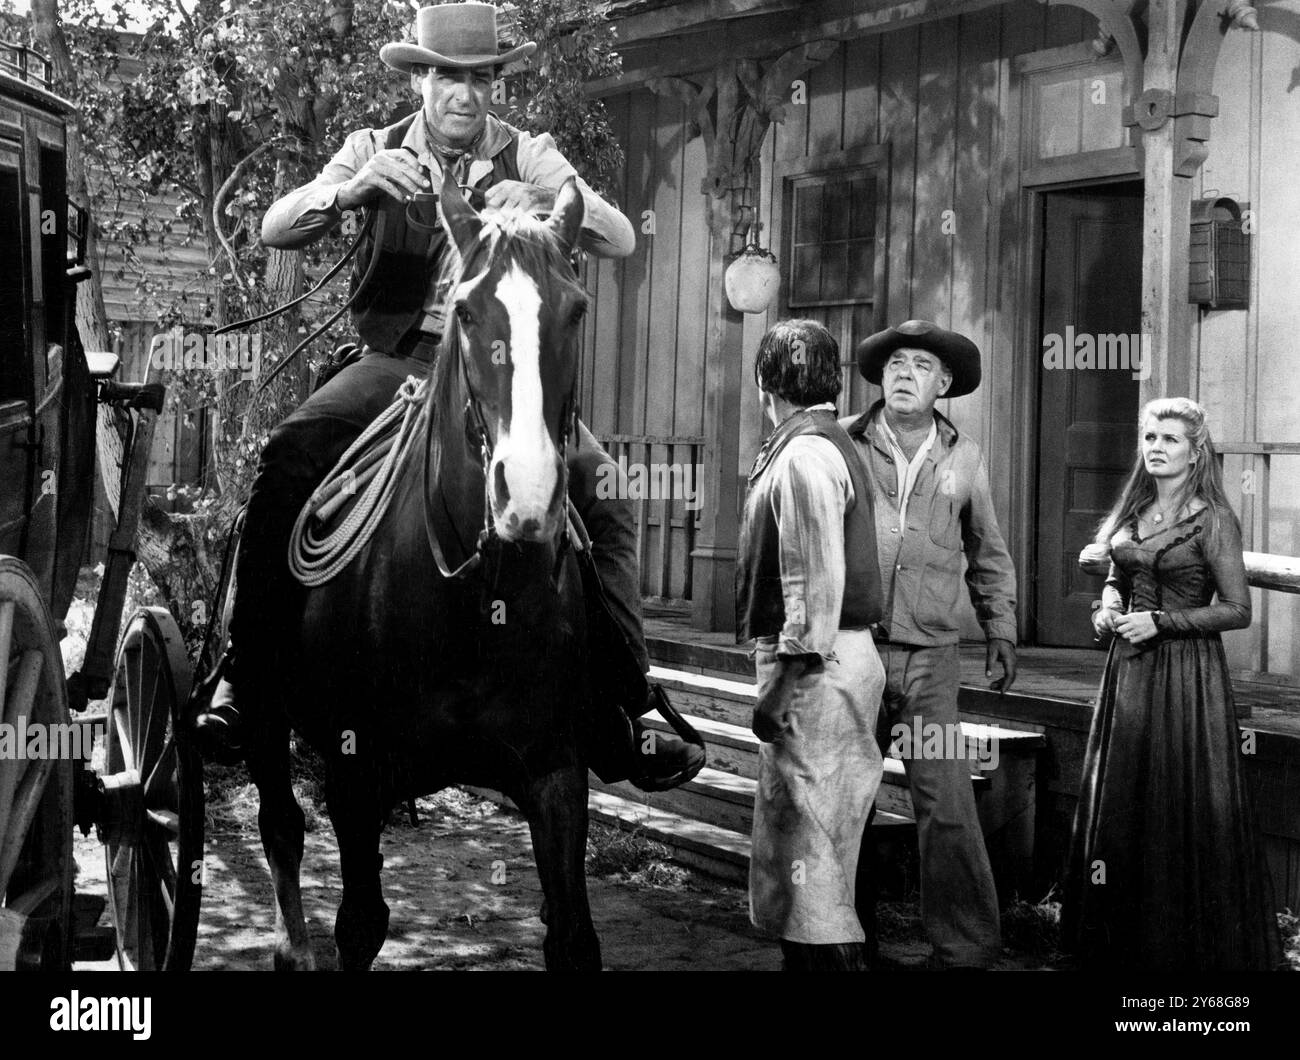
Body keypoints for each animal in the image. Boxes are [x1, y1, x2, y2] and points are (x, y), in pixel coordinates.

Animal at [244, 174, 603, 967]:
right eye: (465, 310)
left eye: (577, 308)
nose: (527, 495)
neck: (475, 601)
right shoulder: (352, 775)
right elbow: (359, 922)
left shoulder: (556, 772)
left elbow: (572, 932)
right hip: (264, 718)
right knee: (281, 825)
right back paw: (289, 942)